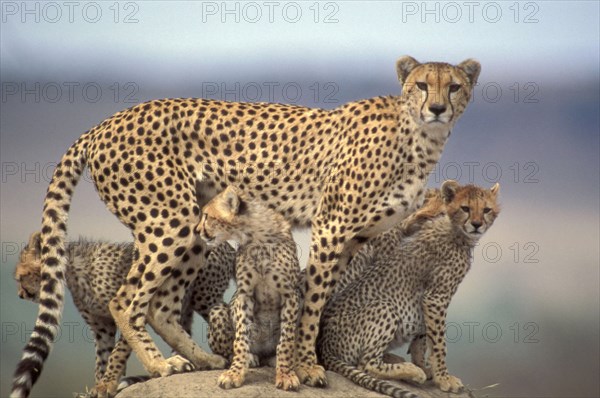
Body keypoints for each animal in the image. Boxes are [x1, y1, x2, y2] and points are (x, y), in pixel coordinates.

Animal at [12, 232, 236, 394]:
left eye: (20, 277)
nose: (20, 295)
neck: (74, 270)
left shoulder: (128, 310)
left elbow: (118, 352)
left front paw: (108, 383)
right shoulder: (102, 328)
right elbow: (103, 357)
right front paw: (101, 384)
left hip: (204, 296)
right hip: (184, 303)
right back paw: (185, 362)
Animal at [196, 186, 300, 388]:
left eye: (207, 216)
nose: (197, 231)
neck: (256, 238)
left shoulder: (290, 295)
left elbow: (287, 340)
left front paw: (285, 373)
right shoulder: (244, 295)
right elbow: (240, 338)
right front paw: (235, 372)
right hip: (218, 310)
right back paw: (250, 358)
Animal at [318, 182, 502, 396]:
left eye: (486, 209)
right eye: (465, 208)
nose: (476, 224)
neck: (455, 230)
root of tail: (325, 346)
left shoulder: (427, 300)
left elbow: (422, 337)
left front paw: (426, 367)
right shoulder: (436, 297)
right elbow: (439, 342)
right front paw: (443, 378)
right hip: (385, 307)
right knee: (366, 363)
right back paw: (412, 371)